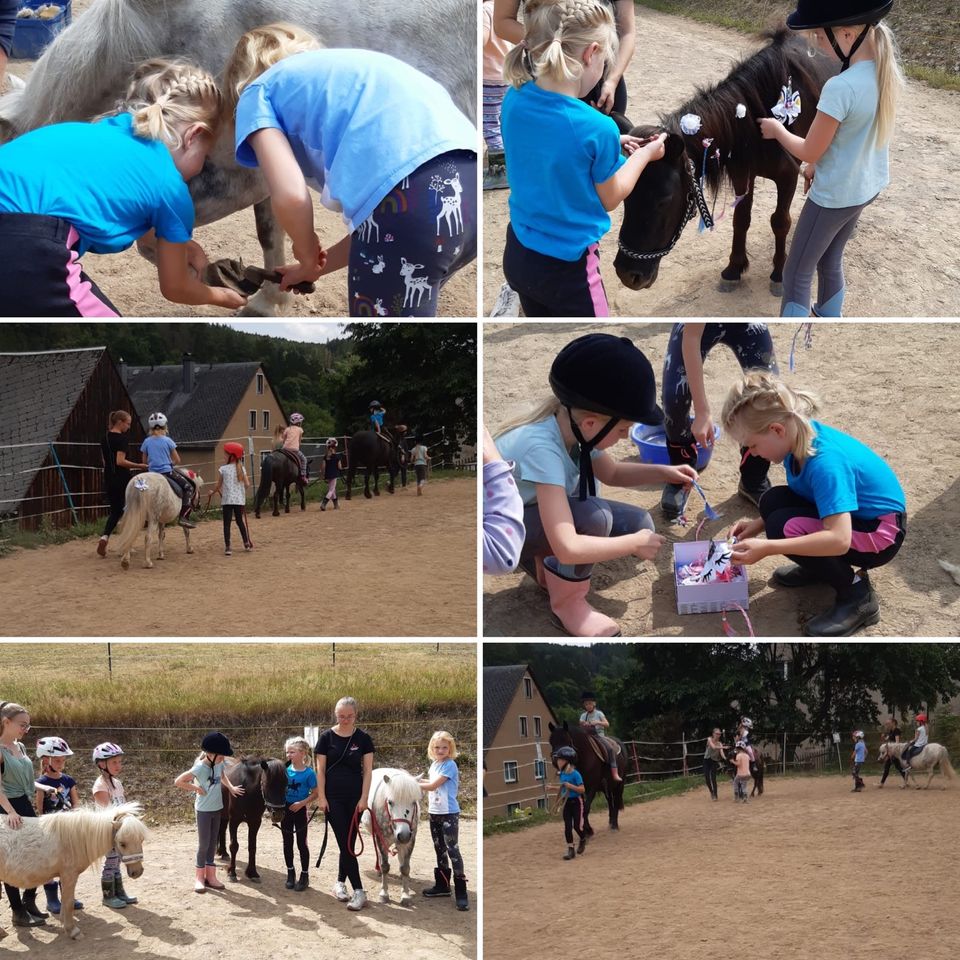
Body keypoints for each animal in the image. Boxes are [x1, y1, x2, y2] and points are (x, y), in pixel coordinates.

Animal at [0, 0, 478, 316]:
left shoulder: (231, 176)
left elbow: (150, 241)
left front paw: (215, 276)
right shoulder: (260, 173)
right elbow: (269, 232)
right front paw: (270, 297)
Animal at [0, 800, 148, 940]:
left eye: (141, 839)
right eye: (122, 843)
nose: (137, 872)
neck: (74, 839)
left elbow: (65, 901)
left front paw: (64, 922)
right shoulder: (69, 876)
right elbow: (69, 902)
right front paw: (72, 931)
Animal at [218, 756, 288, 884]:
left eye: (286, 785)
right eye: (266, 784)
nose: (278, 814)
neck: (246, 789)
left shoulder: (255, 822)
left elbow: (252, 847)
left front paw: (252, 873)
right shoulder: (234, 821)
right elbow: (234, 846)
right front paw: (232, 872)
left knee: (222, 830)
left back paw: (223, 853)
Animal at [360, 768, 420, 904]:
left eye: (414, 802)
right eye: (390, 802)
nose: (403, 835)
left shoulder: (410, 841)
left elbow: (405, 868)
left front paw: (405, 894)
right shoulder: (382, 839)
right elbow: (385, 866)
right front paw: (384, 894)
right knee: (379, 855)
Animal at [616, 29, 832, 292]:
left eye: (663, 200)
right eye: (626, 198)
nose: (628, 274)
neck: (759, 116)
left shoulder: (787, 176)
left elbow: (780, 221)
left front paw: (779, 273)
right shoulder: (742, 173)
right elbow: (741, 219)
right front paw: (734, 268)